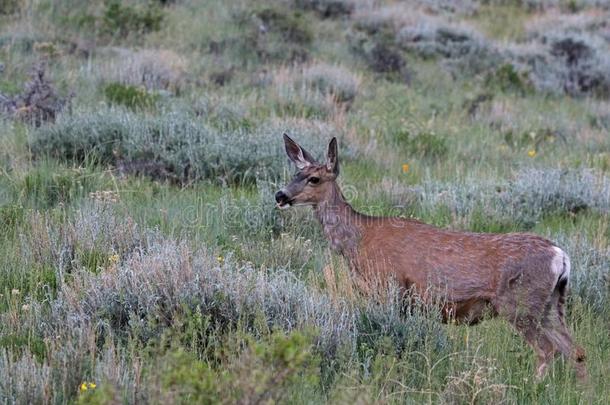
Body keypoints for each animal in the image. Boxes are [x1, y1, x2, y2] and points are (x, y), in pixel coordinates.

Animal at [274, 134, 584, 380]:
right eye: (293, 175)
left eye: (314, 178)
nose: (280, 195)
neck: (358, 240)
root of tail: (560, 255)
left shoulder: (389, 288)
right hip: (551, 303)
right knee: (576, 350)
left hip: (520, 303)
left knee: (548, 349)